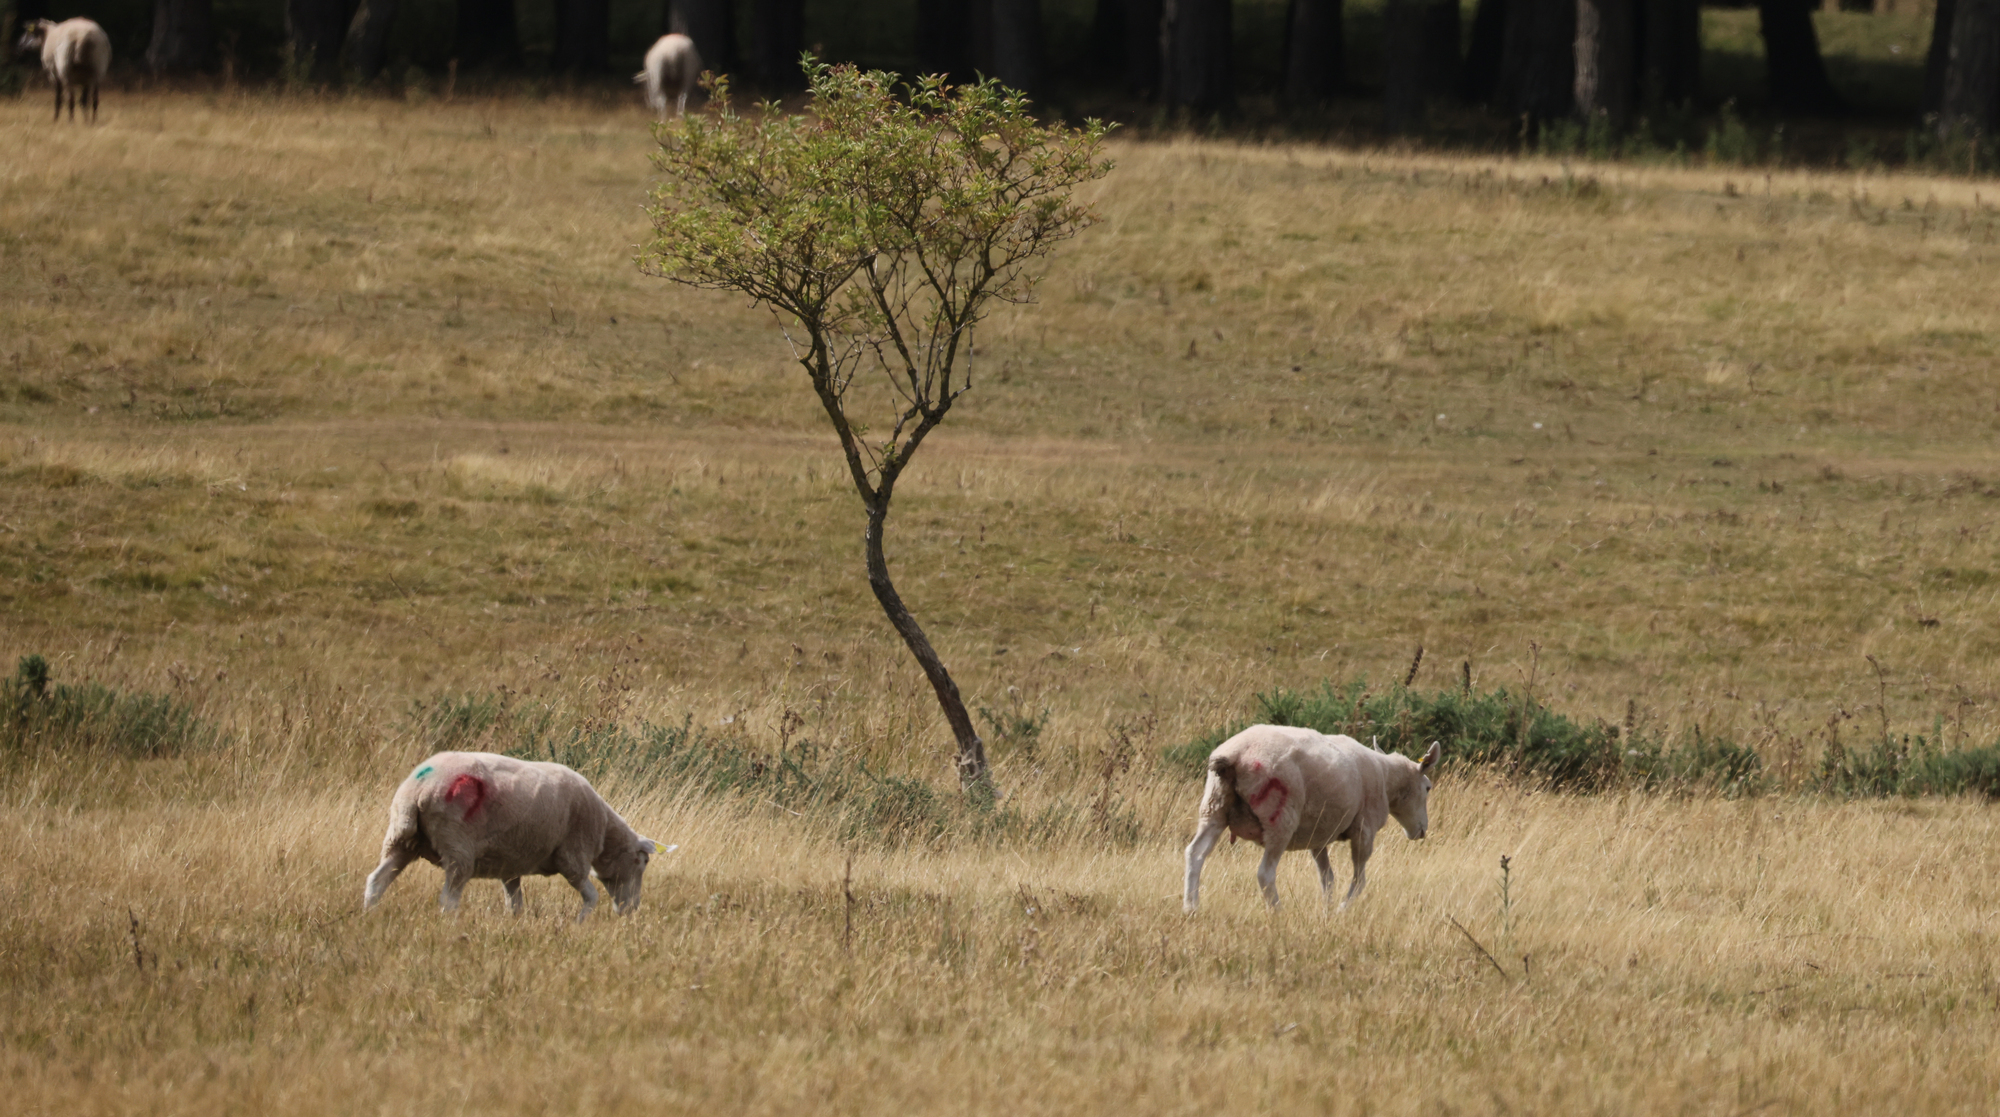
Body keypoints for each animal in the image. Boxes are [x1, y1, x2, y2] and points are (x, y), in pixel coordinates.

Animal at [363, 751, 667, 922]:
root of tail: (416, 788)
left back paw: (369, 915)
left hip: (399, 840)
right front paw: (579, 924)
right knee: (448, 900)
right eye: (643, 862)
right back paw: (450, 927)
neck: (603, 831)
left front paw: (515, 925)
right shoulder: (573, 857)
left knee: (377, 880)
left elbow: (515, 903)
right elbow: (591, 896)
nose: (631, 910)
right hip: (458, 845)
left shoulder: (510, 865)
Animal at [1183, 725, 1440, 913]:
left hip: (1214, 807)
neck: (1387, 777)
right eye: (1428, 788)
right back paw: (1278, 913)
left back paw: (1191, 908)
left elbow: (1327, 878)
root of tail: (1234, 756)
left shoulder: (1319, 837)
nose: (1421, 831)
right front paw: (1341, 910)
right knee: (1265, 873)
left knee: (1195, 853)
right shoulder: (1364, 829)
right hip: (1279, 816)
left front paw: (1327, 910)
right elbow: (1359, 880)